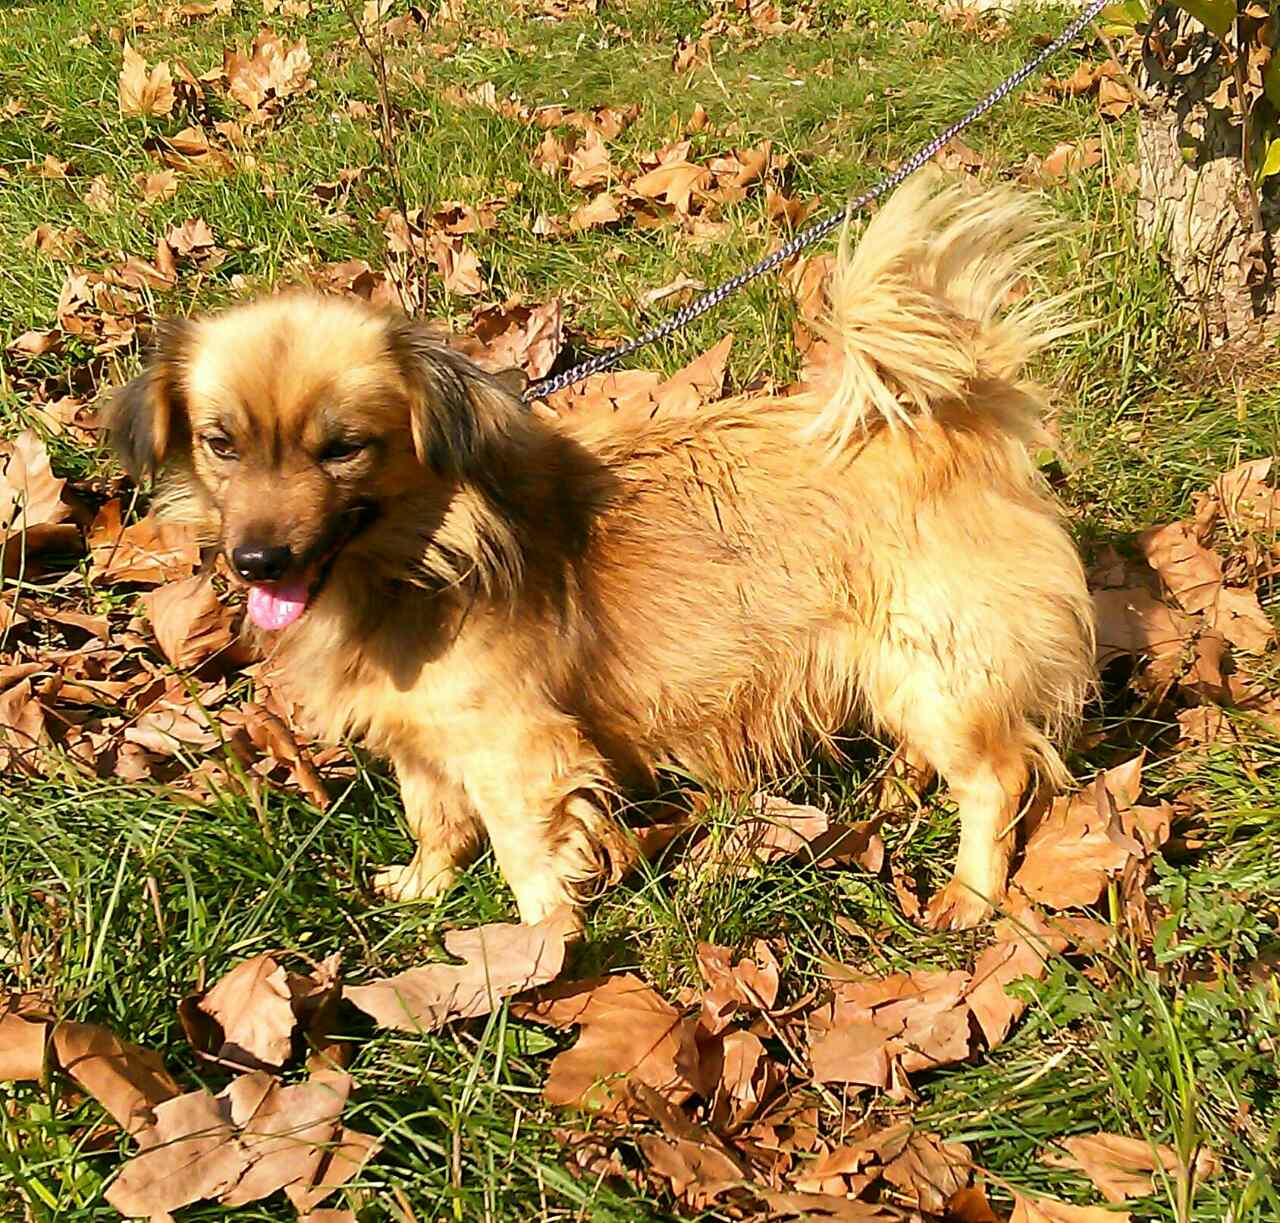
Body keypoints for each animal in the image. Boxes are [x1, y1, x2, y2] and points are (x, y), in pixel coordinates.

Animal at [109, 173, 1095, 931]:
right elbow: (436, 819)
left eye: (343, 448)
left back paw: (973, 891)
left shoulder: (515, 750)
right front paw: (426, 887)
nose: (257, 561)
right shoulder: (421, 743)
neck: (420, 561)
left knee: (999, 774)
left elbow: (523, 852)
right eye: (221, 444)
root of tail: (950, 412)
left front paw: (539, 950)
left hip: (931, 664)